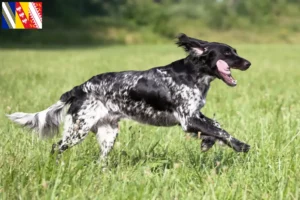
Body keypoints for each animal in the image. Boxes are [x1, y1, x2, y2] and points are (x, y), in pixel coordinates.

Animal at [7, 33, 251, 161]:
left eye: (235, 51)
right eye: (228, 53)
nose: (248, 63)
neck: (192, 74)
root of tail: (80, 88)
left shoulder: (195, 115)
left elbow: (216, 127)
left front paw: (209, 142)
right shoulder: (187, 119)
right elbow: (221, 131)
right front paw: (241, 145)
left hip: (108, 133)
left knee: (101, 160)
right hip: (79, 129)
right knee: (56, 147)